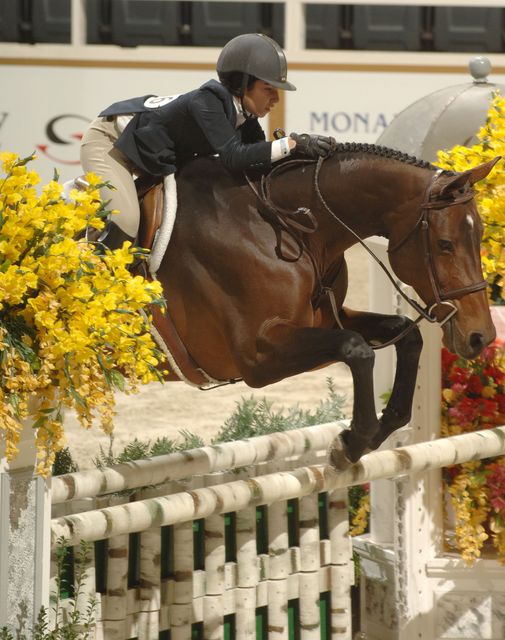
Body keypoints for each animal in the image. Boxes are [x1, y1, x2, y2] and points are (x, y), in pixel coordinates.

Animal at [136, 142, 498, 468]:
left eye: (480, 232)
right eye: (445, 244)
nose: (481, 336)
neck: (285, 225)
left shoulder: (326, 321)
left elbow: (405, 335)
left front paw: (381, 427)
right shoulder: (256, 357)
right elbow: (356, 349)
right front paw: (353, 441)